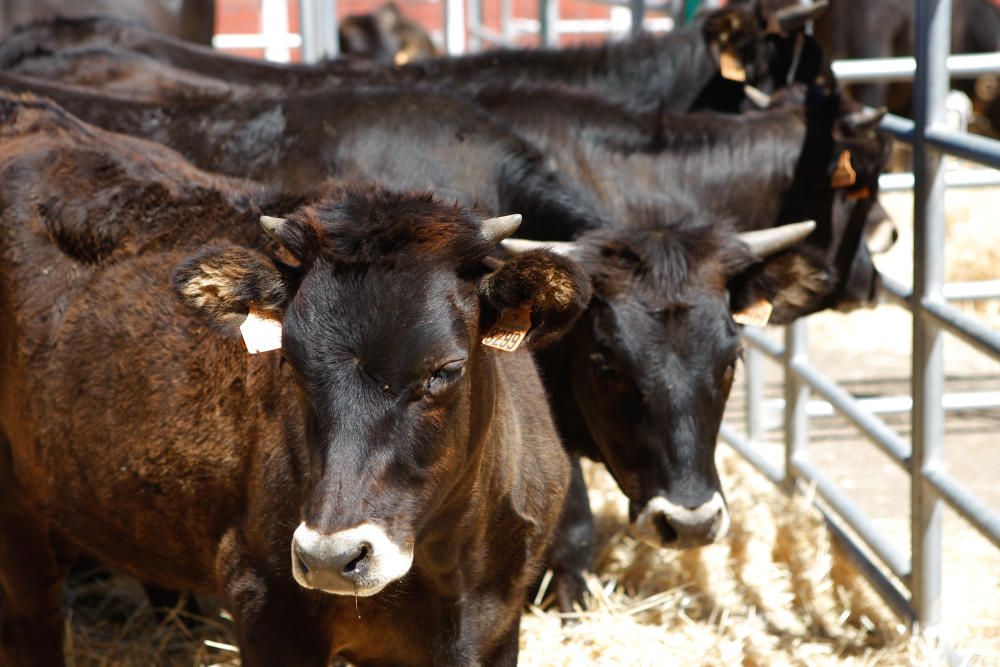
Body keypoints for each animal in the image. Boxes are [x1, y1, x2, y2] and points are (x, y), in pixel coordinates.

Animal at [0, 91, 592, 664]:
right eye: (290, 361)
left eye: (447, 368)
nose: (332, 557)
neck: (442, 570)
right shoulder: (266, 605)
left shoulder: (496, 623)